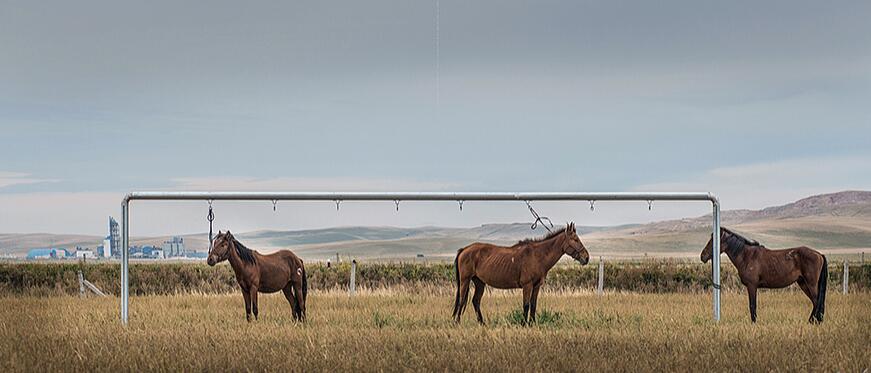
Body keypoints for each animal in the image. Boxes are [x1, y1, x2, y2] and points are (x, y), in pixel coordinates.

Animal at [454, 222, 588, 324]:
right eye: (575, 239)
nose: (586, 257)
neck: (537, 256)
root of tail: (464, 250)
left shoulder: (536, 286)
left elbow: (533, 305)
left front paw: (532, 323)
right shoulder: (527, 285)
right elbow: (526, 305)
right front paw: (524, 324)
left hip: (479, 282)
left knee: (475, 301)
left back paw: (482, 323)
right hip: (465, 280)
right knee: (461, 300)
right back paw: (457, 323)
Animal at [700, 227, 832, 322]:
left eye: (713, 240)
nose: (702, 256)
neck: (747, 256)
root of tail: (819, 254)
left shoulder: (752, 286)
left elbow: (752, 305)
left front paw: (754, 323)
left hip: (811, 284)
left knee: (817, 301)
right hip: (803, 283)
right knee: (815, 302)